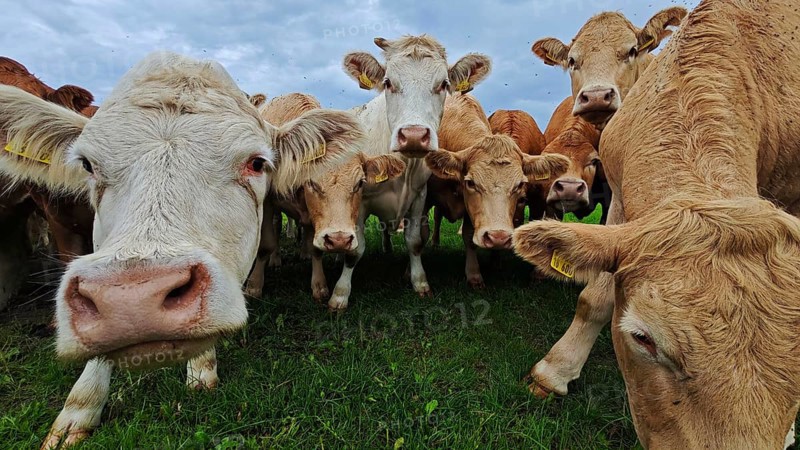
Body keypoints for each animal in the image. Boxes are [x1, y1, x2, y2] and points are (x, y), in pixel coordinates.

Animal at [322, 34, 490, 311]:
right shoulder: (360, 199)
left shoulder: (419, 197)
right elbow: (355, 249)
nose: (413, 135)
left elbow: (414, 241)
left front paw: (420, 282)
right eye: (388, 82)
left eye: (444, 84)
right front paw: (340, 294)